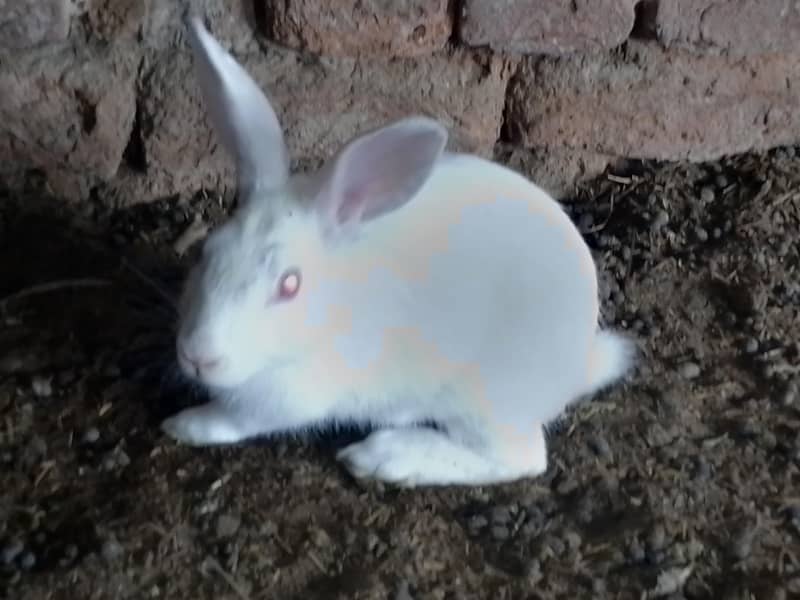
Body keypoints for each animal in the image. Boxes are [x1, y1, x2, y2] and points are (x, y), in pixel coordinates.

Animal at [161, 15, 636, 487]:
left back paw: (385, 456)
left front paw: (185, 424)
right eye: (206, 252)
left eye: (290, 285)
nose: (198, 355)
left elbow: (238, 419)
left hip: (485, 400)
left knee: (518, 459)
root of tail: (577, 365)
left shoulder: (288, 397)